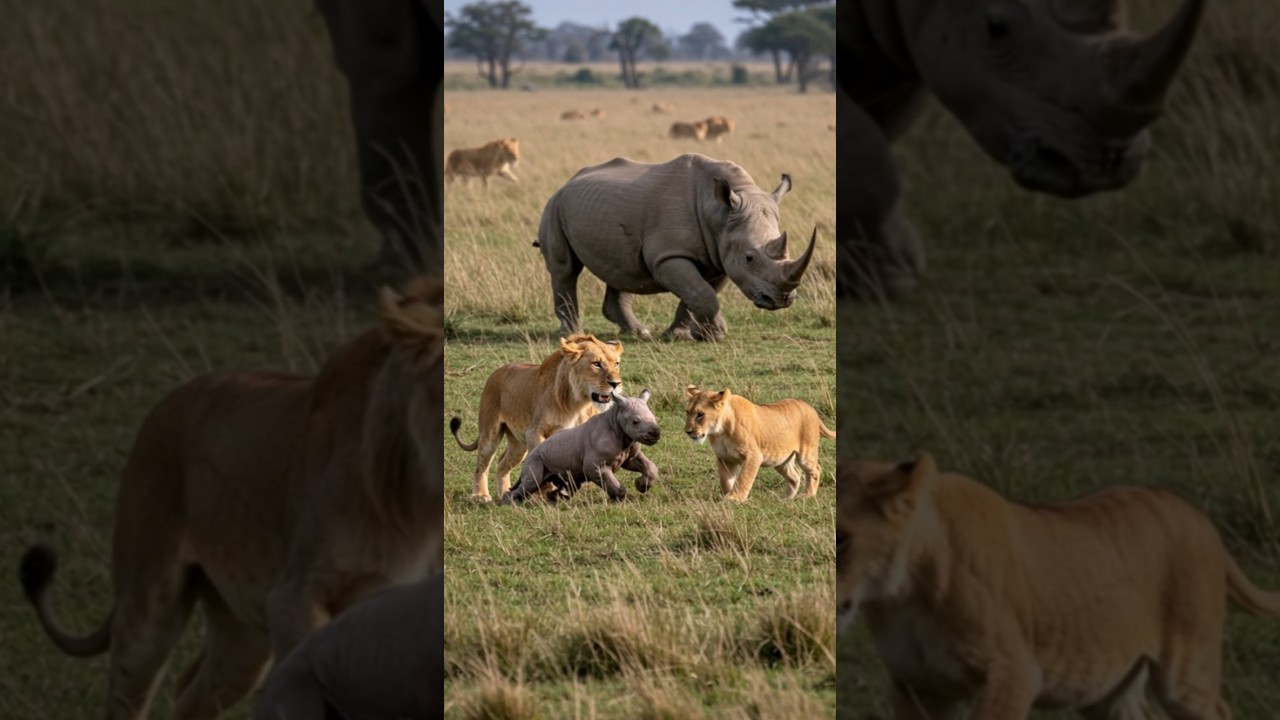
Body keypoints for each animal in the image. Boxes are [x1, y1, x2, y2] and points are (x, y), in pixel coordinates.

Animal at [536, 154, 818, 342]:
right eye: (750, 258)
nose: (781, 300)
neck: (719, 212)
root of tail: (569, 181)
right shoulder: (669, 256)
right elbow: (702, 293)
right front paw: (717, 335)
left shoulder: (720, 257)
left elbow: (698, 294)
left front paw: (684, 335)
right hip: (555, 205)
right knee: (565, 269)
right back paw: (572, 333)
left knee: (620, 269)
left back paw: (637, 331)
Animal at [840, 0, 1205, 300]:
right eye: (996, 29)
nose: (1110, 163)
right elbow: (866, 146)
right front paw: (892, 278)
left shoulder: (897, 57)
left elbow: (874, 144)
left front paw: (864, 280)